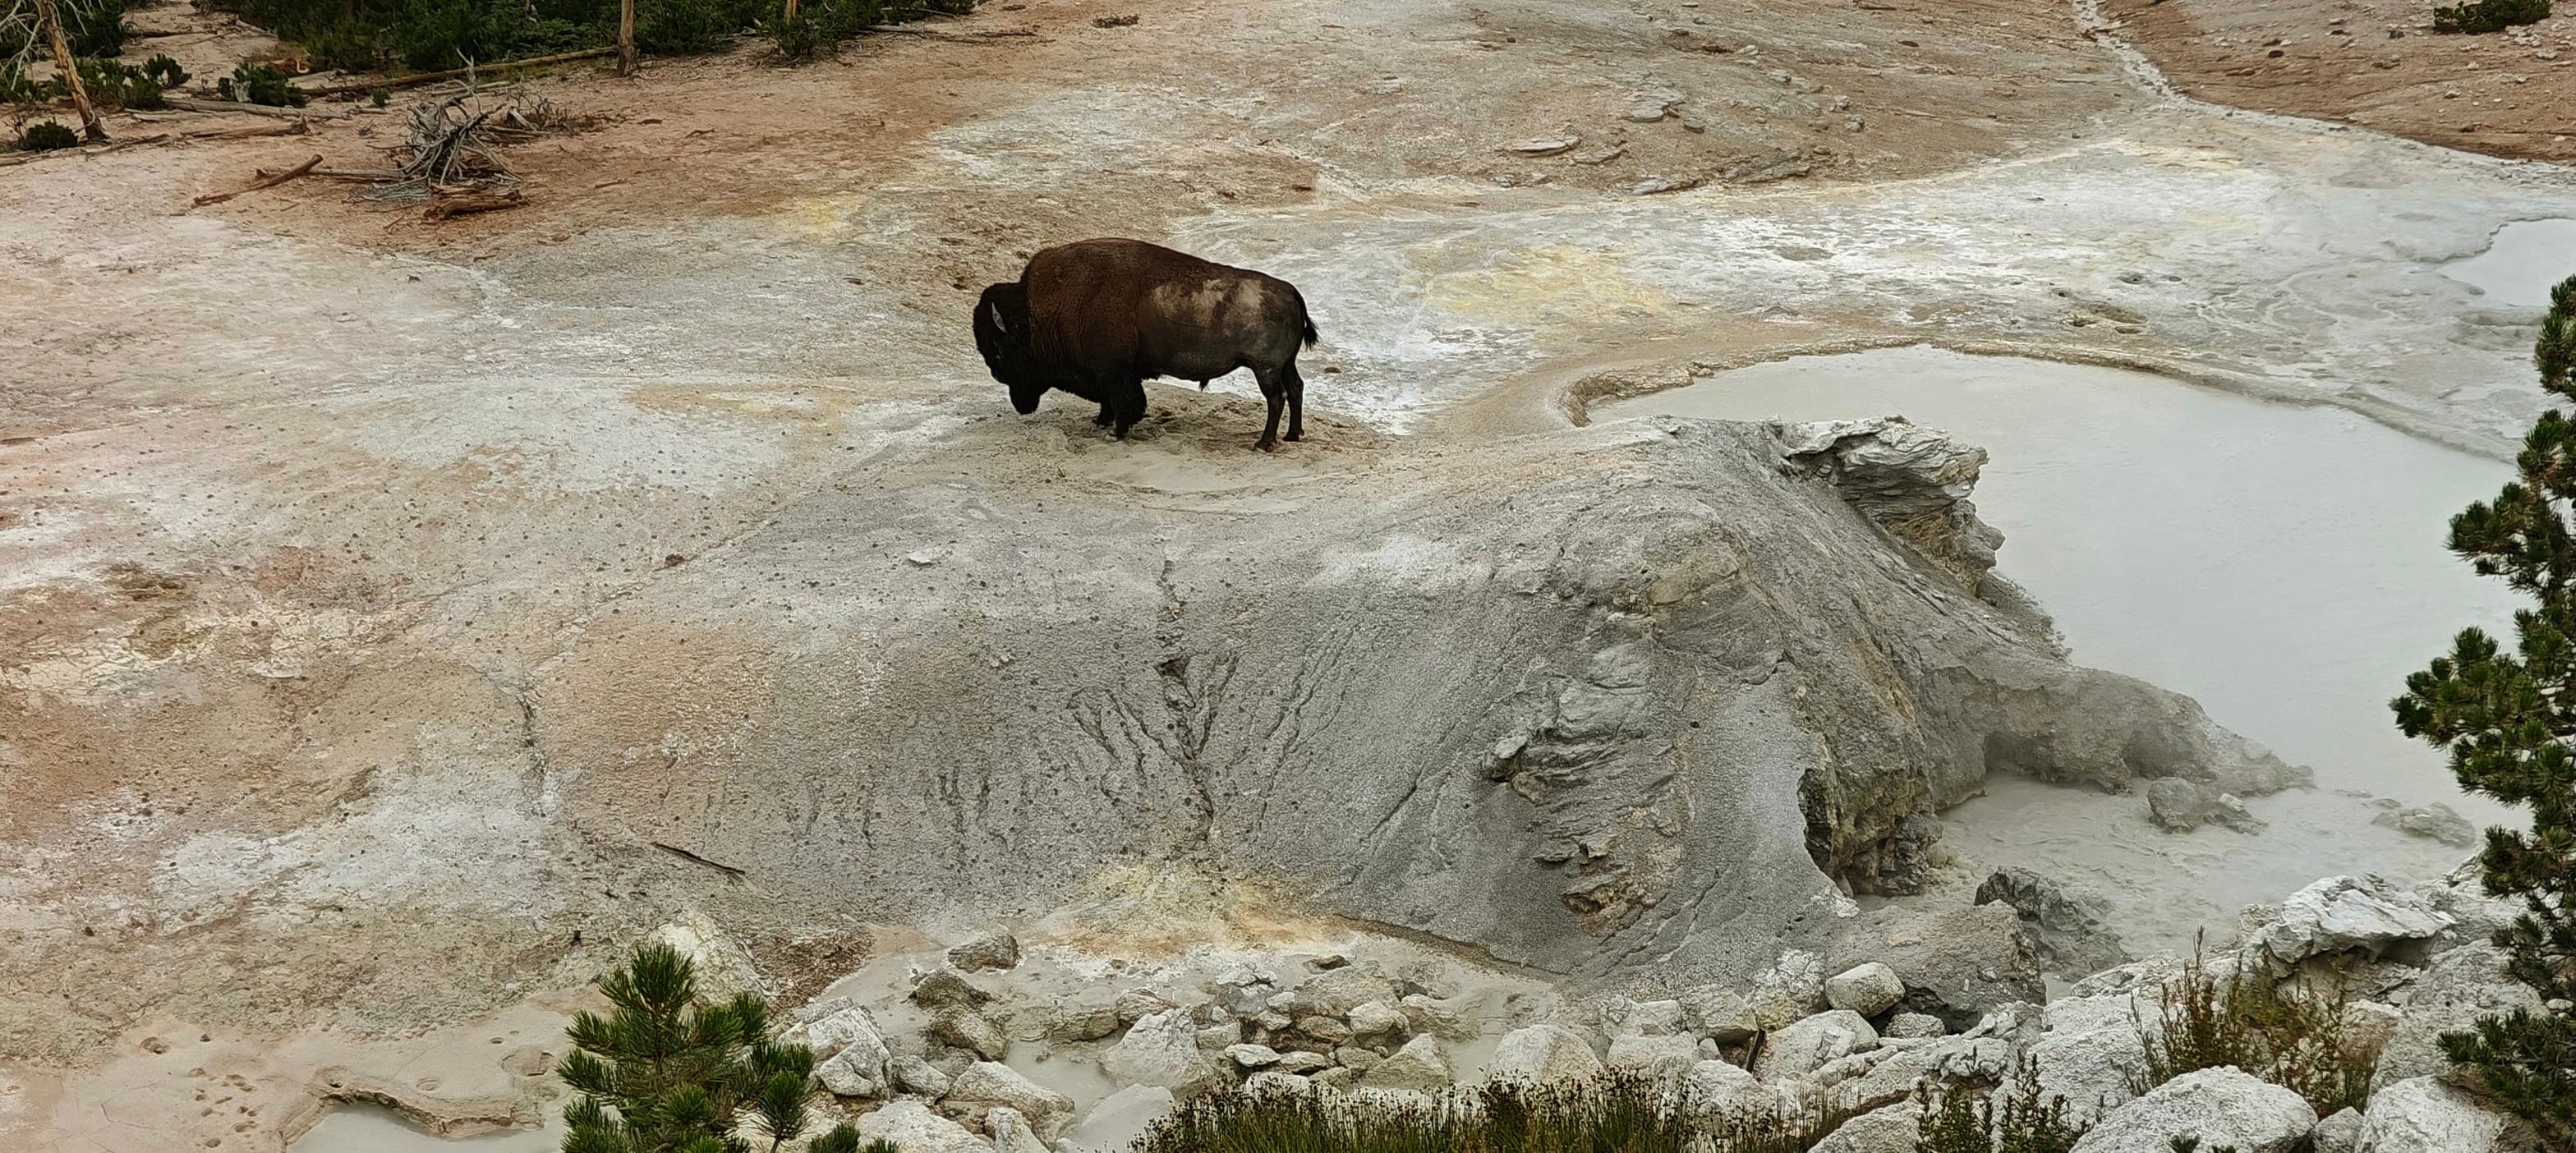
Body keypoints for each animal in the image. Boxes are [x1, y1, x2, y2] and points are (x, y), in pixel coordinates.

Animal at [972, 238, 1321, 450]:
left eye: (1000, 350)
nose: (998, 376)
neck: (1038, 312)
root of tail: (1291, 291)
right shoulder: (1108, 373)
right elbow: (1109, 401)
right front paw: (1101, 421)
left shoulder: (1114, 372)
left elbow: (1125, 401)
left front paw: (1116, 431)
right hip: (1285, 365)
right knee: (1295, 390)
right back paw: (1292, 435)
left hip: (1265, 369)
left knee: (1276, 398)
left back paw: (1263, 444)